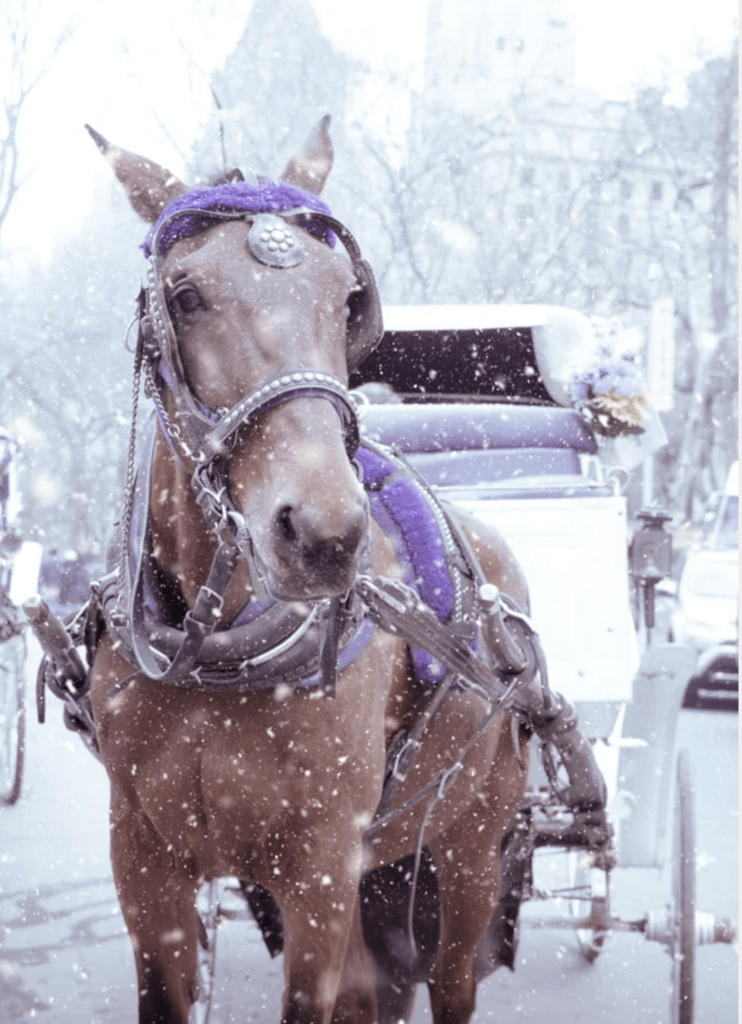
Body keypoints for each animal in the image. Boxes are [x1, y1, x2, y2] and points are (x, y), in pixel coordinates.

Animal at [86, 116, 528, 1019]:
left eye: (347, 298)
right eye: (186, 295)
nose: (324, 534)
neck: (216, 653)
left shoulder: (320, 871)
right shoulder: (143, 865)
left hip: (471, 845)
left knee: (452, 980)